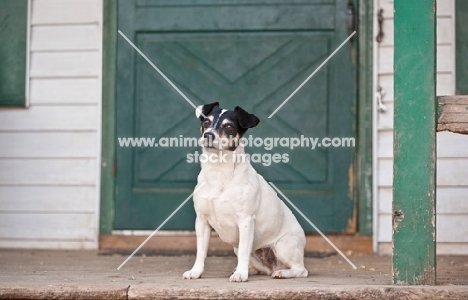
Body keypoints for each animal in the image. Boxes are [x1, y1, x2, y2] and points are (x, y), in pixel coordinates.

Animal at [182, 102, 308, 282]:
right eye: (206, 122)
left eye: (229, 126)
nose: (208, 135)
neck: (219, 170)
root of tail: (273, 266)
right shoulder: (202, 221)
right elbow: (201, 251)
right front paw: (196, 271)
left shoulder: (246, 221)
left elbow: (243, 251)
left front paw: (241, 275)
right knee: (259, 266)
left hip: (284, 247)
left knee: (301, 270)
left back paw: (282, 273)